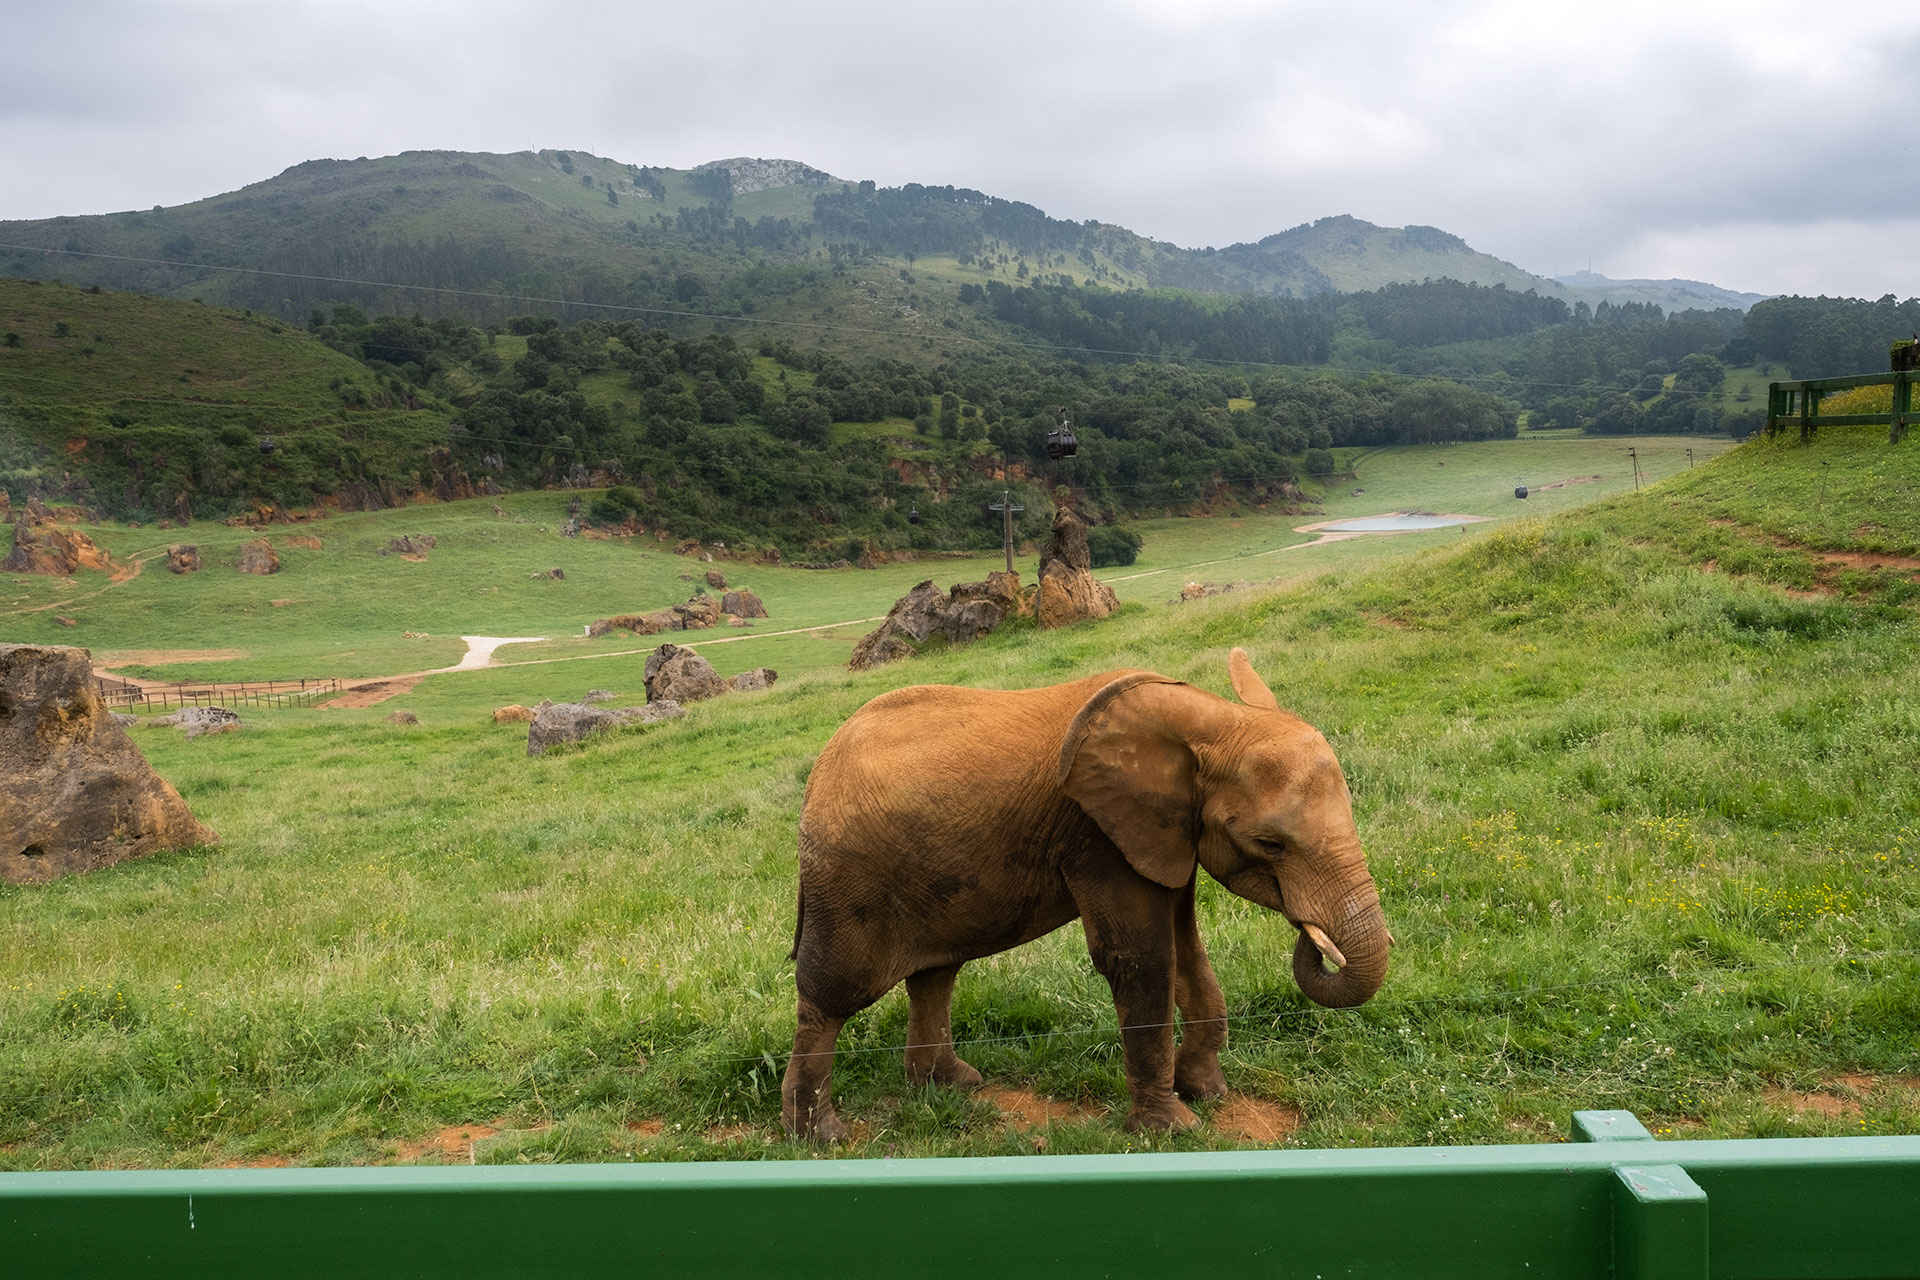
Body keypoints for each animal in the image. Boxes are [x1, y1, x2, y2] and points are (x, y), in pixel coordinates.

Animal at [779, 652, 1397, 1143]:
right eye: (1270, 844)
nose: (1314, 937)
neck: (1211, 719)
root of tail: (817, 775)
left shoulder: (1163, 832)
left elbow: (1185, 950)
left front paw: (1208, 1092)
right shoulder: (1096, 833)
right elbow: (1139, 957)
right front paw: (1172, 1128)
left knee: (935, 974)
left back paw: (951, 1087)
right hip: (848, 880)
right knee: (831, 996)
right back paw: (821, 1136)